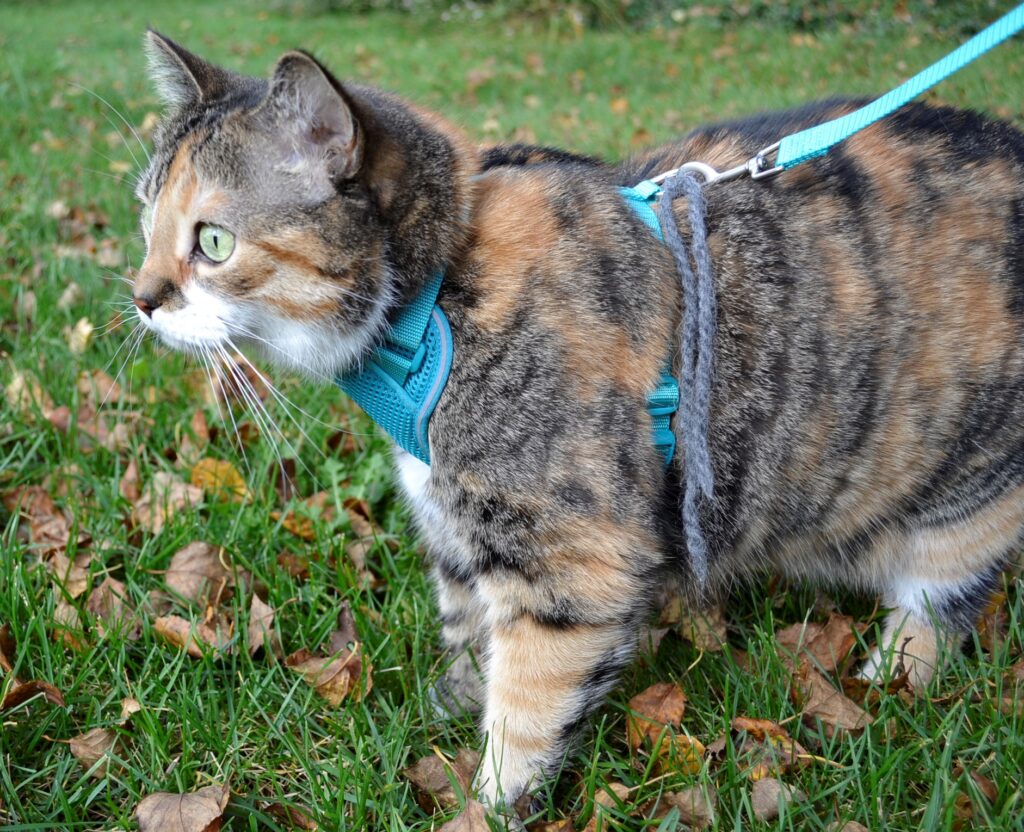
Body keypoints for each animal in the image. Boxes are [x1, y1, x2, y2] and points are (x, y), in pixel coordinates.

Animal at [132, 32, 1024, 811]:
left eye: (213, 241)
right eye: (146, 221)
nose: (139, 299)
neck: (439, 297)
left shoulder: (571, 555)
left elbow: (527, 705)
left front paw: (489, 802)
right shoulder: (453, 523)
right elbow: (468, 627)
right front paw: (449, 704)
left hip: (967, 496)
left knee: (938, 607)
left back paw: (885, 685)